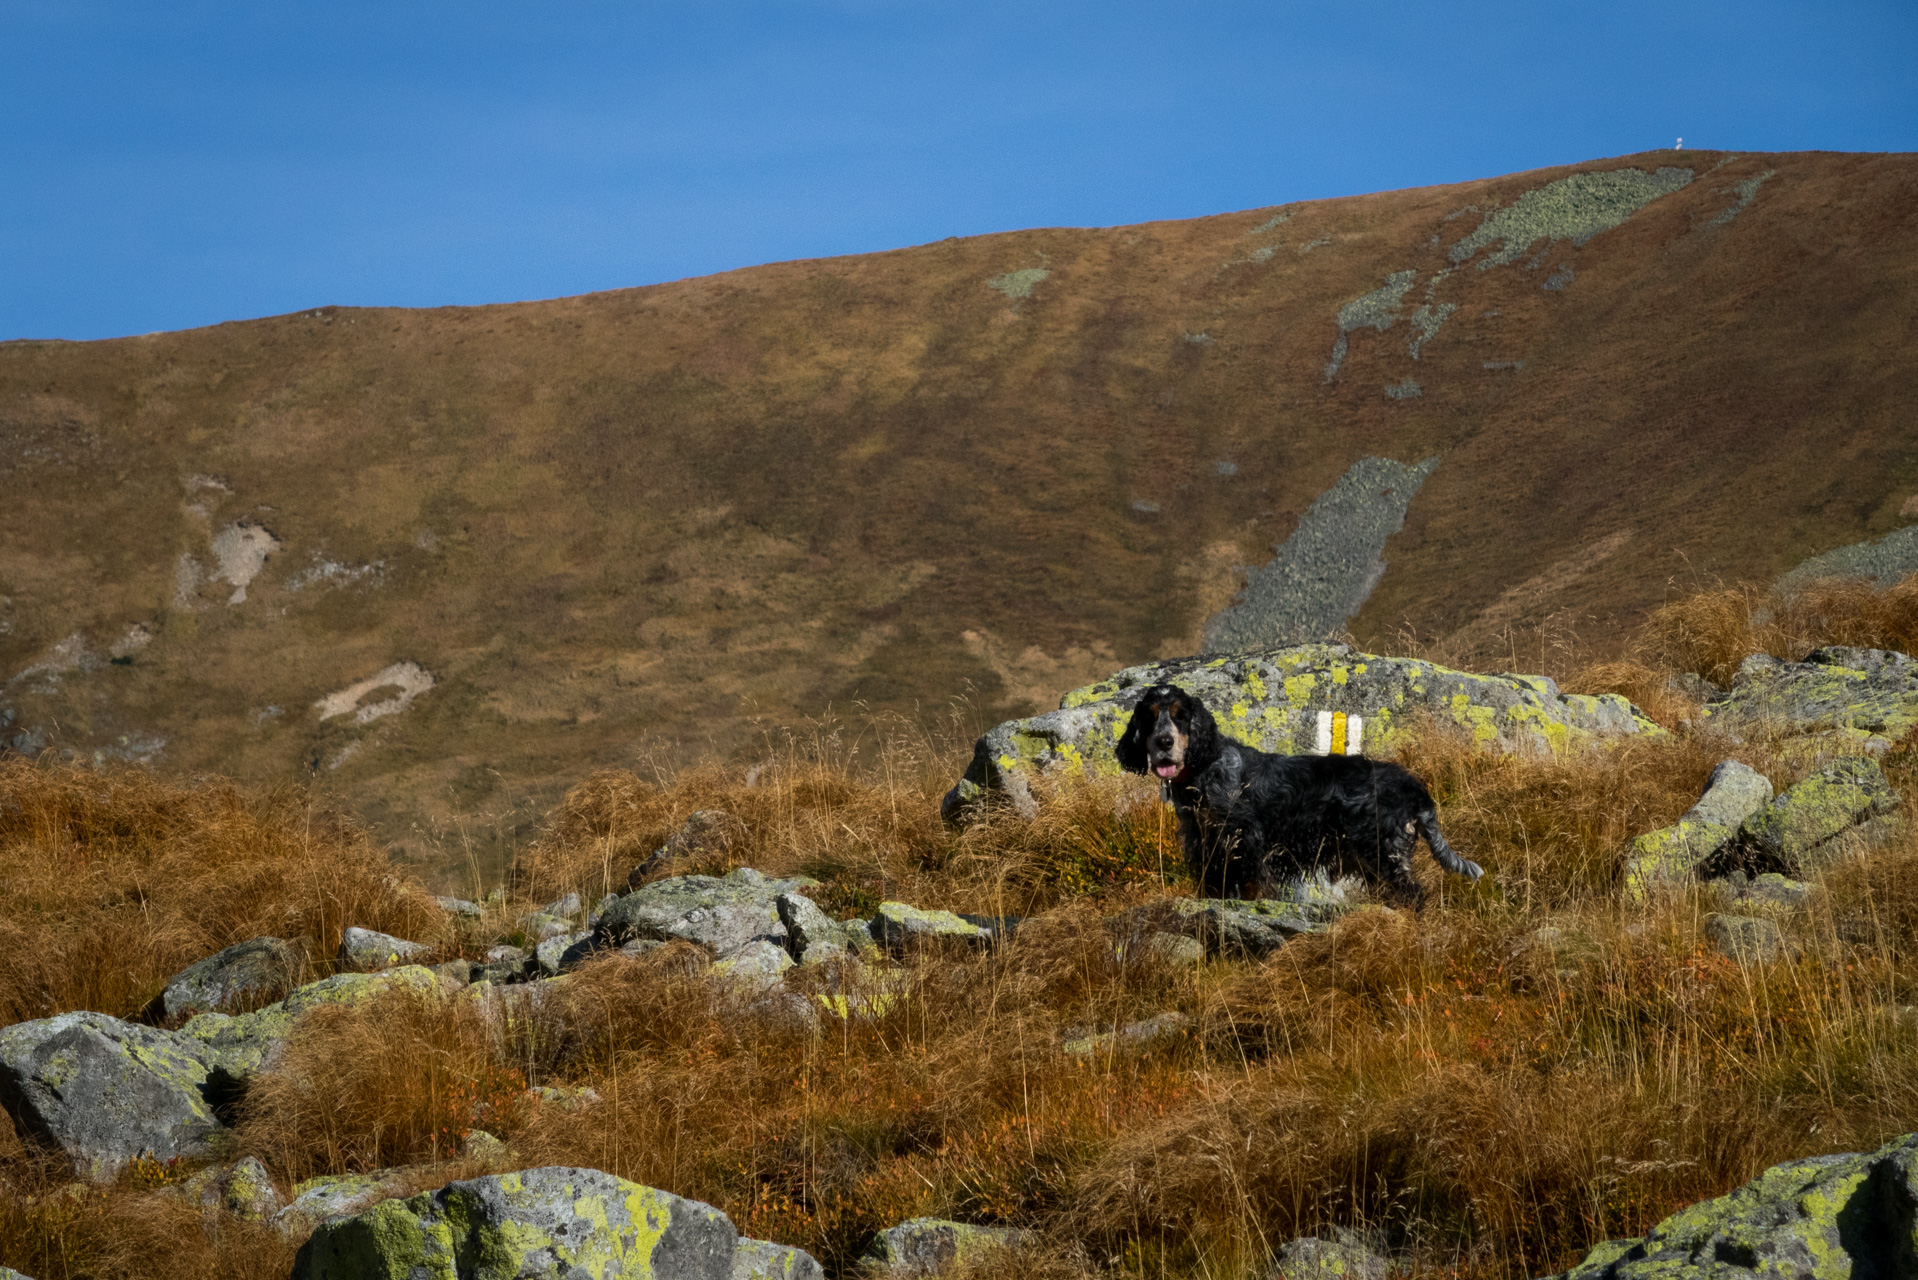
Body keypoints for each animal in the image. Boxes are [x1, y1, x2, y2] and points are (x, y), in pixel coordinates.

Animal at [1120, 687, 1473, 905]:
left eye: (1181, 715)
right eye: (1149, 715)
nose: (1164, 742)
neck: (1205, 770)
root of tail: (1413, 785)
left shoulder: (1246, 846)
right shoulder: (1205, 849)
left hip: (1385, 853)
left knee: (1413, 895)